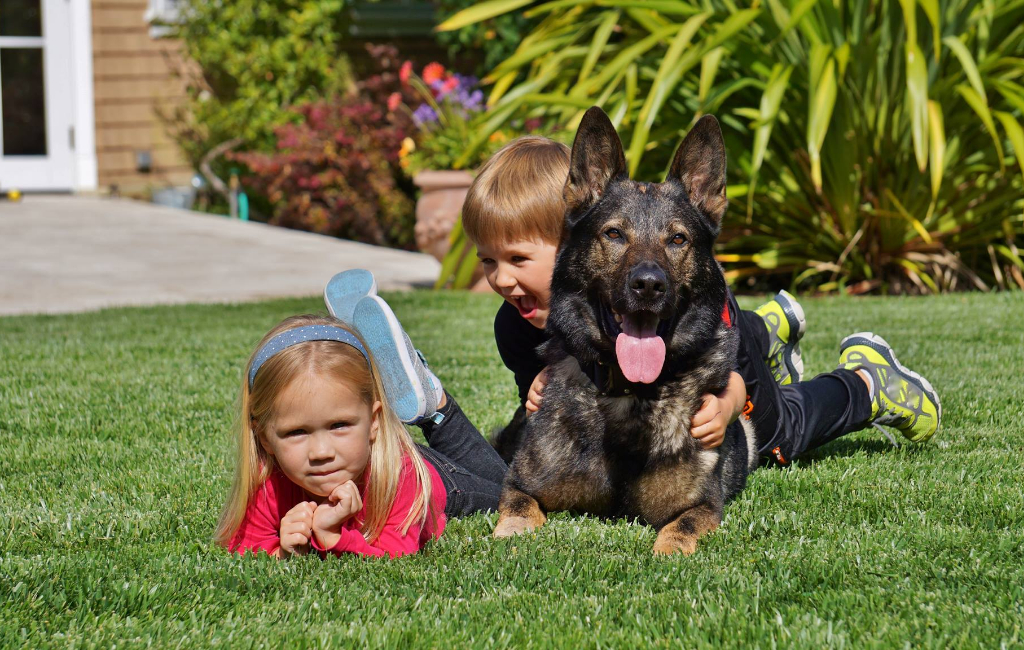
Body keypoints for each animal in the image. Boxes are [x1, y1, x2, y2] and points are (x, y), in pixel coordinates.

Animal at [495, 106, 761, 552]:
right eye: (614, 233)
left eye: (677, 239)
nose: (649, 285)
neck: (629, 393)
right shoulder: (520, 483)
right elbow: (517, 508)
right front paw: (511, 537)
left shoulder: (702, 506)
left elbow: (678, 530)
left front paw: (668, 552)